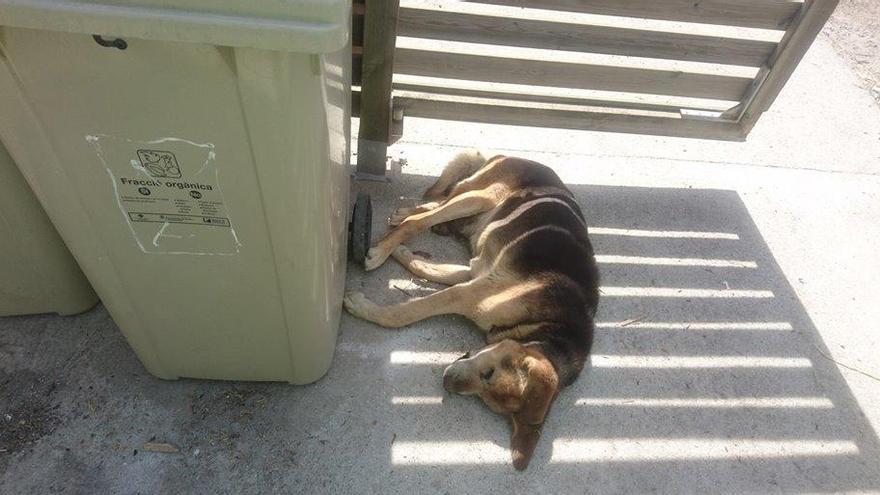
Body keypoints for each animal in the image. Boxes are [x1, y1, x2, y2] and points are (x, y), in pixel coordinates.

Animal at [344, 153, 600, 470]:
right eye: (487, 374)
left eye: (484, 398)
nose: (446, 382)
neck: (549, 327)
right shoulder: (467, 294)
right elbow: (405, 313)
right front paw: (364, 303)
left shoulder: (474, 275)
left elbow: (424, 268)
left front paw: (403, 254)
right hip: (479, 197)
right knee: (422, 219)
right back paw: (384, 248)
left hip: (471, 201)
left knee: (435, 205)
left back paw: (401, 217)